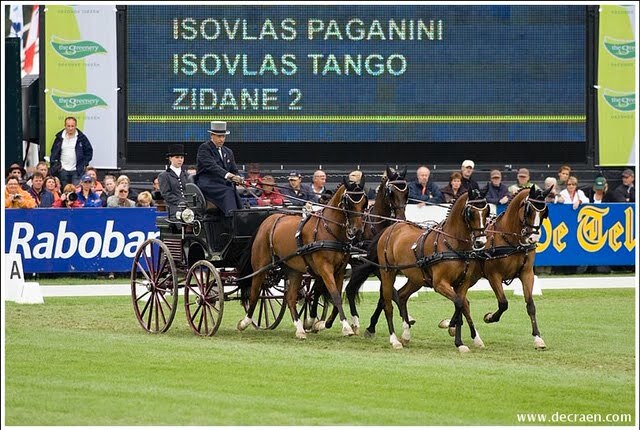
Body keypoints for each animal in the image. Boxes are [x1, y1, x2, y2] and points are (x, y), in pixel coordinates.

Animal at [236, 177, 368, 340]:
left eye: (364, 203)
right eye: (348, 203)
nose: (357, 230)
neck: (328, 229)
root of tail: (267, 221)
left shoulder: (340, 270)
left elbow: (335, 295)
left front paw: (322, 323)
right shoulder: (325, 269)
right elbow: (335, 295)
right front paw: (345, 327)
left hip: (294, 270)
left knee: (291, 297)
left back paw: (299, 329)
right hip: (260, 267)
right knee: (255, 292)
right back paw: (245, 322)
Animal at [372, 191, 488, 350]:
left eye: (486, 212)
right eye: (471, 213)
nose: (481, 242)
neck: (452, 244)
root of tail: (391, 228)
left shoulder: (463, 283)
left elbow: (463, 304)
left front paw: (467, 339)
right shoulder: (439, 284)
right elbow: (459, 303)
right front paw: (453, 330)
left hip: (416, 278)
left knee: (402, 296)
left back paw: (406, 334)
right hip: (387, 273)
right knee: (388, 305)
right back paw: (394, 340)